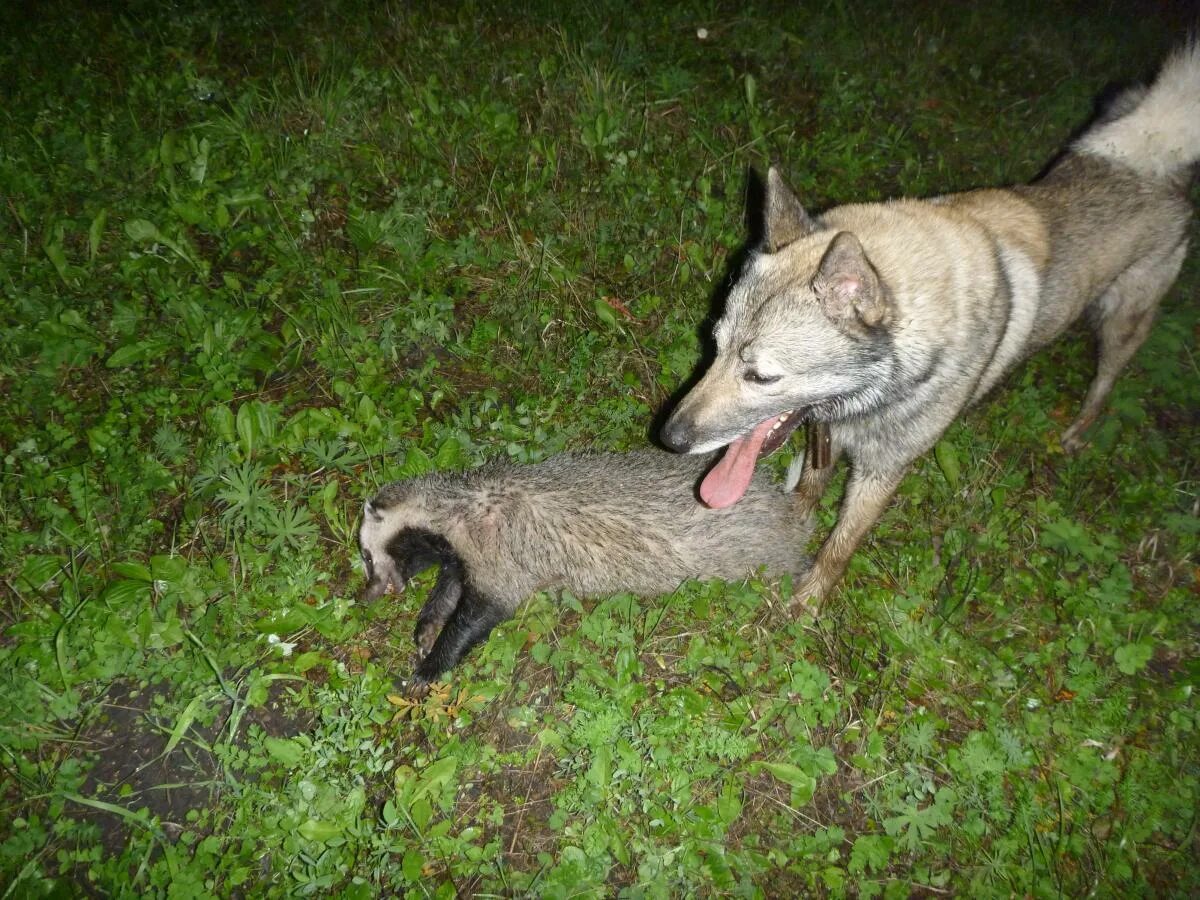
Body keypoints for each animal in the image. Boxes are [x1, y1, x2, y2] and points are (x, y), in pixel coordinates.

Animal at [355, 451, 806, 696]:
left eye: (364, 554)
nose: (367, 595)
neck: (458, 509)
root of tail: (789, 509)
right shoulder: (465, 554)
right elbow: (450, 586)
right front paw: (426, 630)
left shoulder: (498, 550)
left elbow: (482, 611)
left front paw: (427, 669)